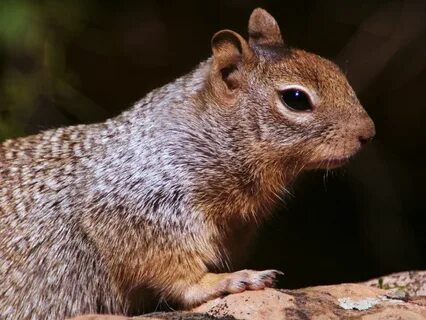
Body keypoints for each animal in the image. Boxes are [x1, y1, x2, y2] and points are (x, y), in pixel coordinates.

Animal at [0, 7, 374, 320]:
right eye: (295, 98)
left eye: (334, 68)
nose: (368, 133)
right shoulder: (143, 209)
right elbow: (178, 275)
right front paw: (230, 280)